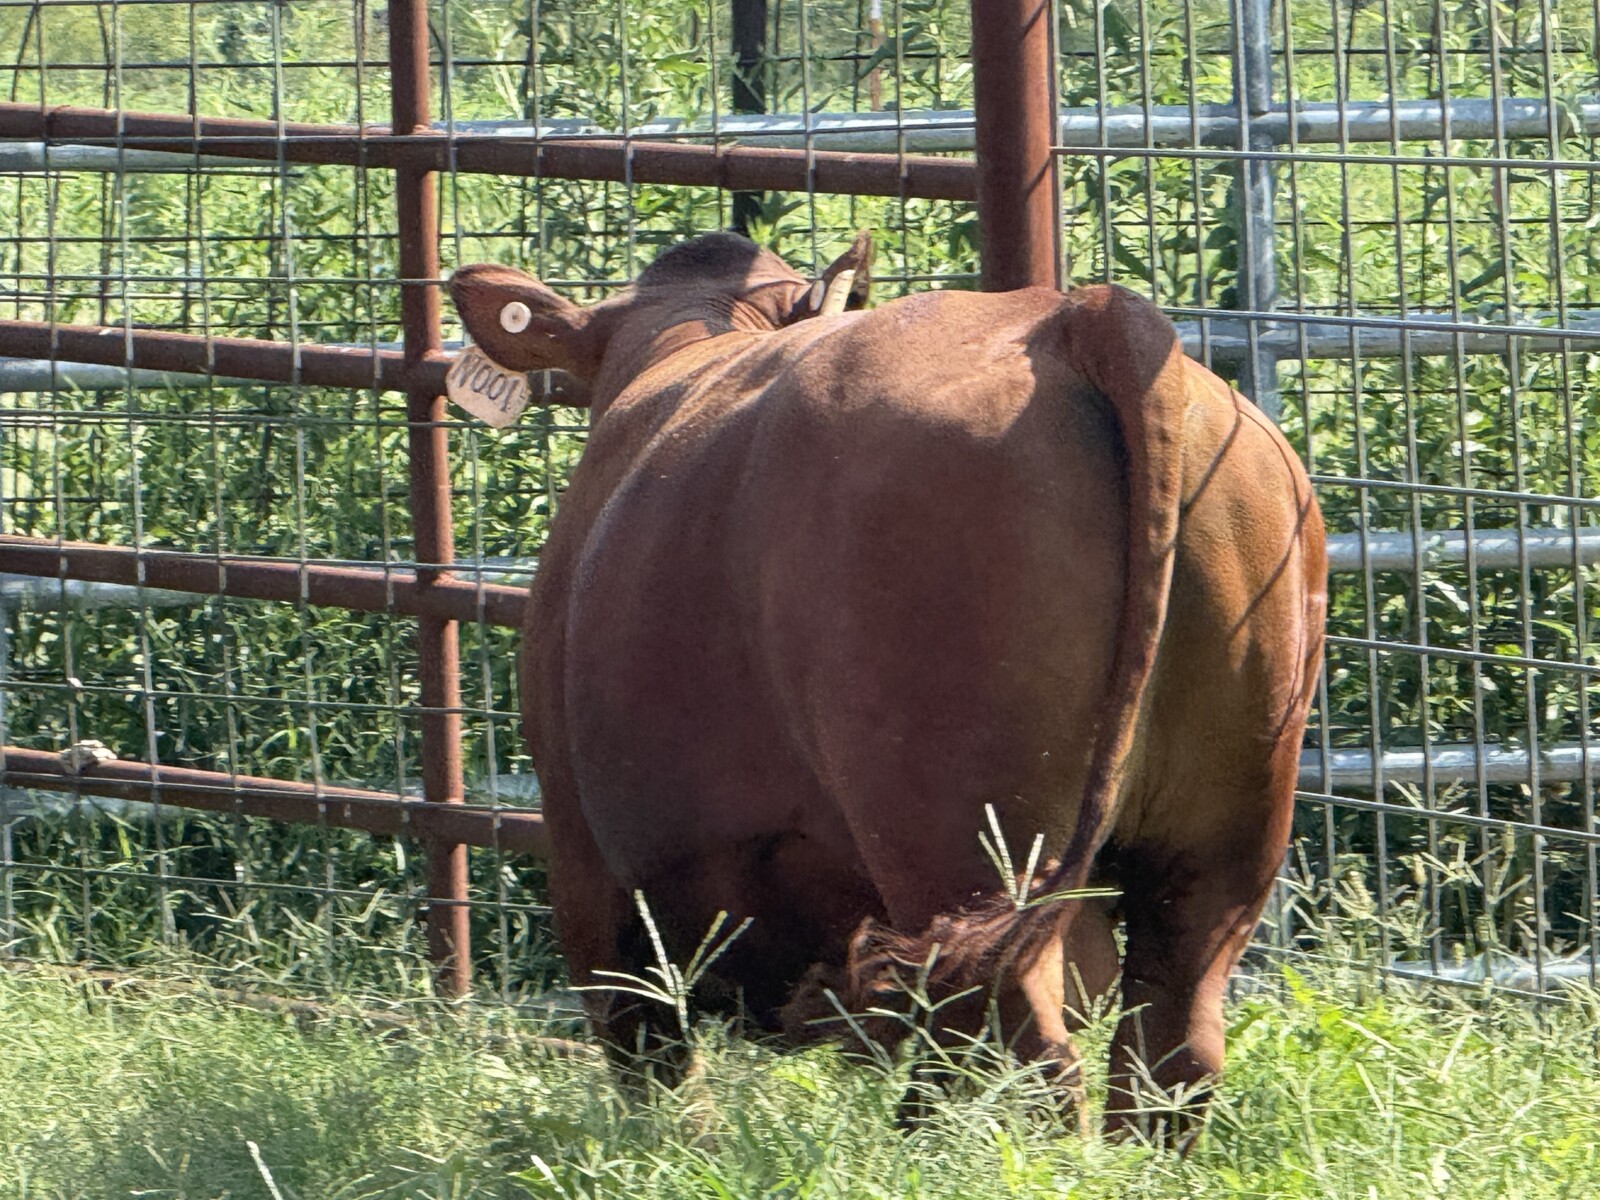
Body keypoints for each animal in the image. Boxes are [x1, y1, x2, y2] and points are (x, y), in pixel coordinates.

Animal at [449, 231, 1326, 1146]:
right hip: (1219, 846)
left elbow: (652, 1059)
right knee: (1169, 1048)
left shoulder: (591, 873)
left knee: (1031, 1054)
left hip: (961, 845)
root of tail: (1074, 318)